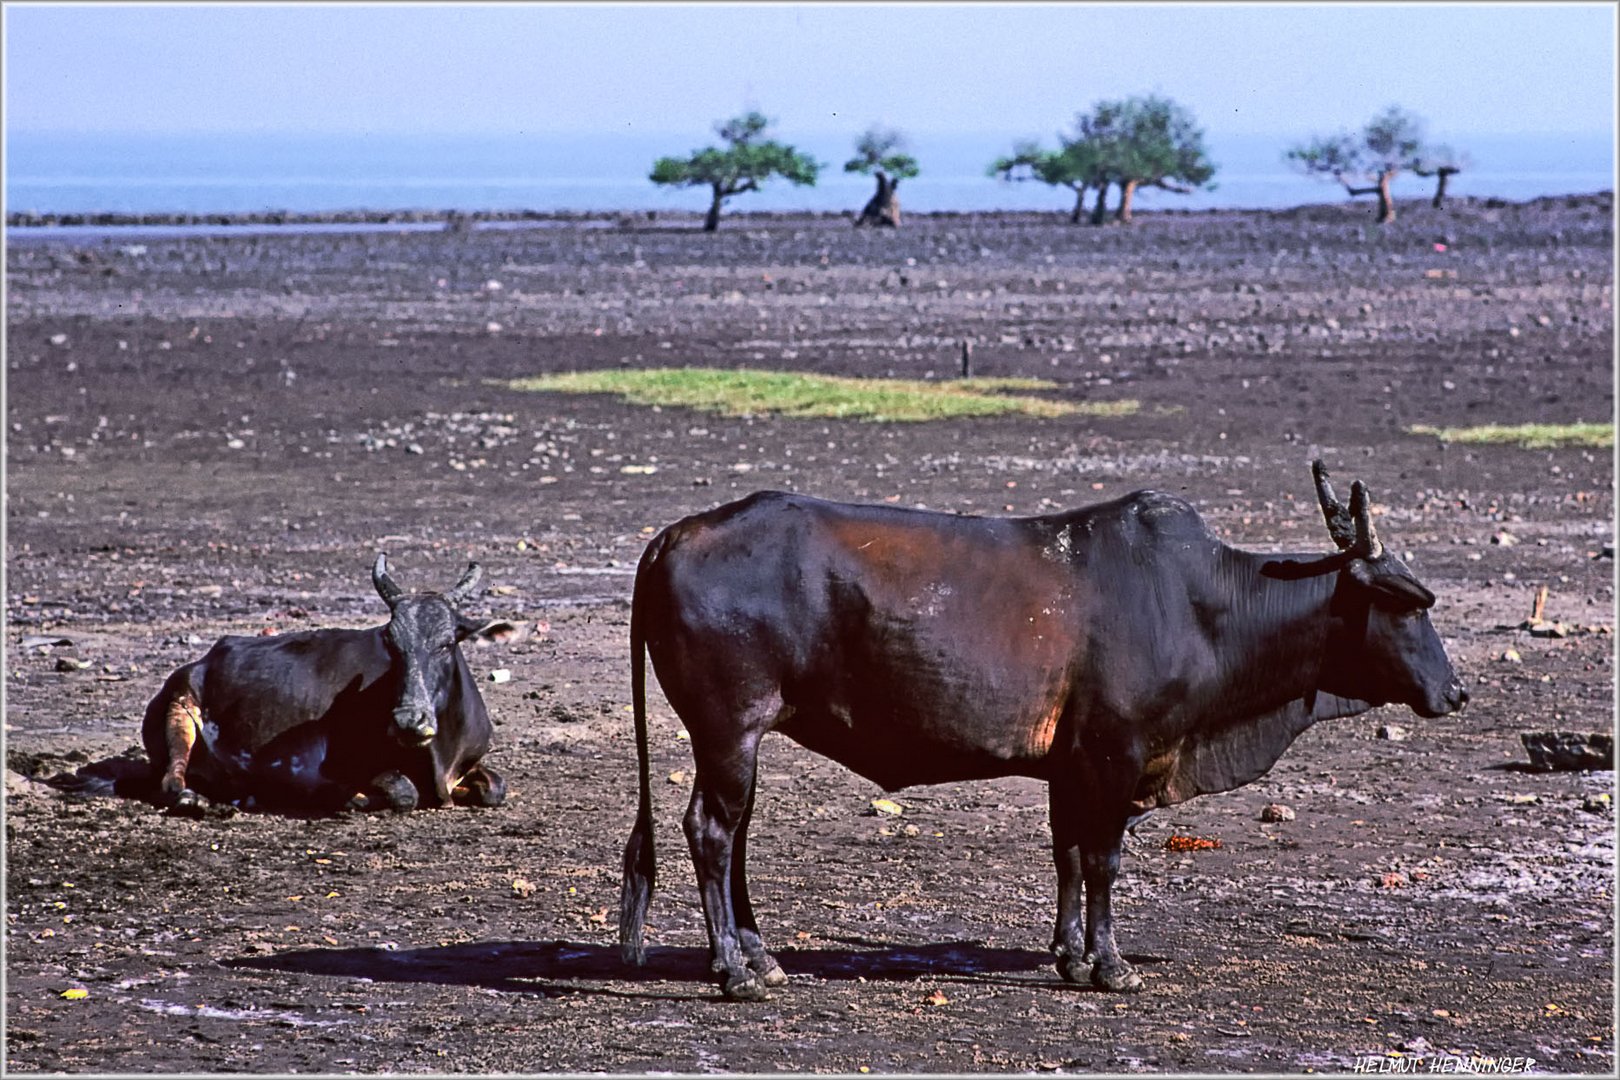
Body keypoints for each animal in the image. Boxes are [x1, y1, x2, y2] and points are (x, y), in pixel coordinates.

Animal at [148, 557, 511, 809]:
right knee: (171, 782)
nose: (409, 720)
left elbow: (495, 788)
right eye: (391, 642)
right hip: (178, 714)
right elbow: (402, 792)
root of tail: (200, 664)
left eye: (446, 643)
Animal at [618, 459, 1470, 1003]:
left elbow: (1065, 856)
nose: (1457, 691)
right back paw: (733, 971)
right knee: (712, 832)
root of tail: (678, 533)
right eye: (1410, 602)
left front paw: (1068, 955)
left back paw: (761, 958)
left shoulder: (1072, 763)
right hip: (729, 729)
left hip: (743, 739)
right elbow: (1102, 863)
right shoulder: (1117, 754)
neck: (1206, 606)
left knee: (735, 835)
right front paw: (1110, 964)